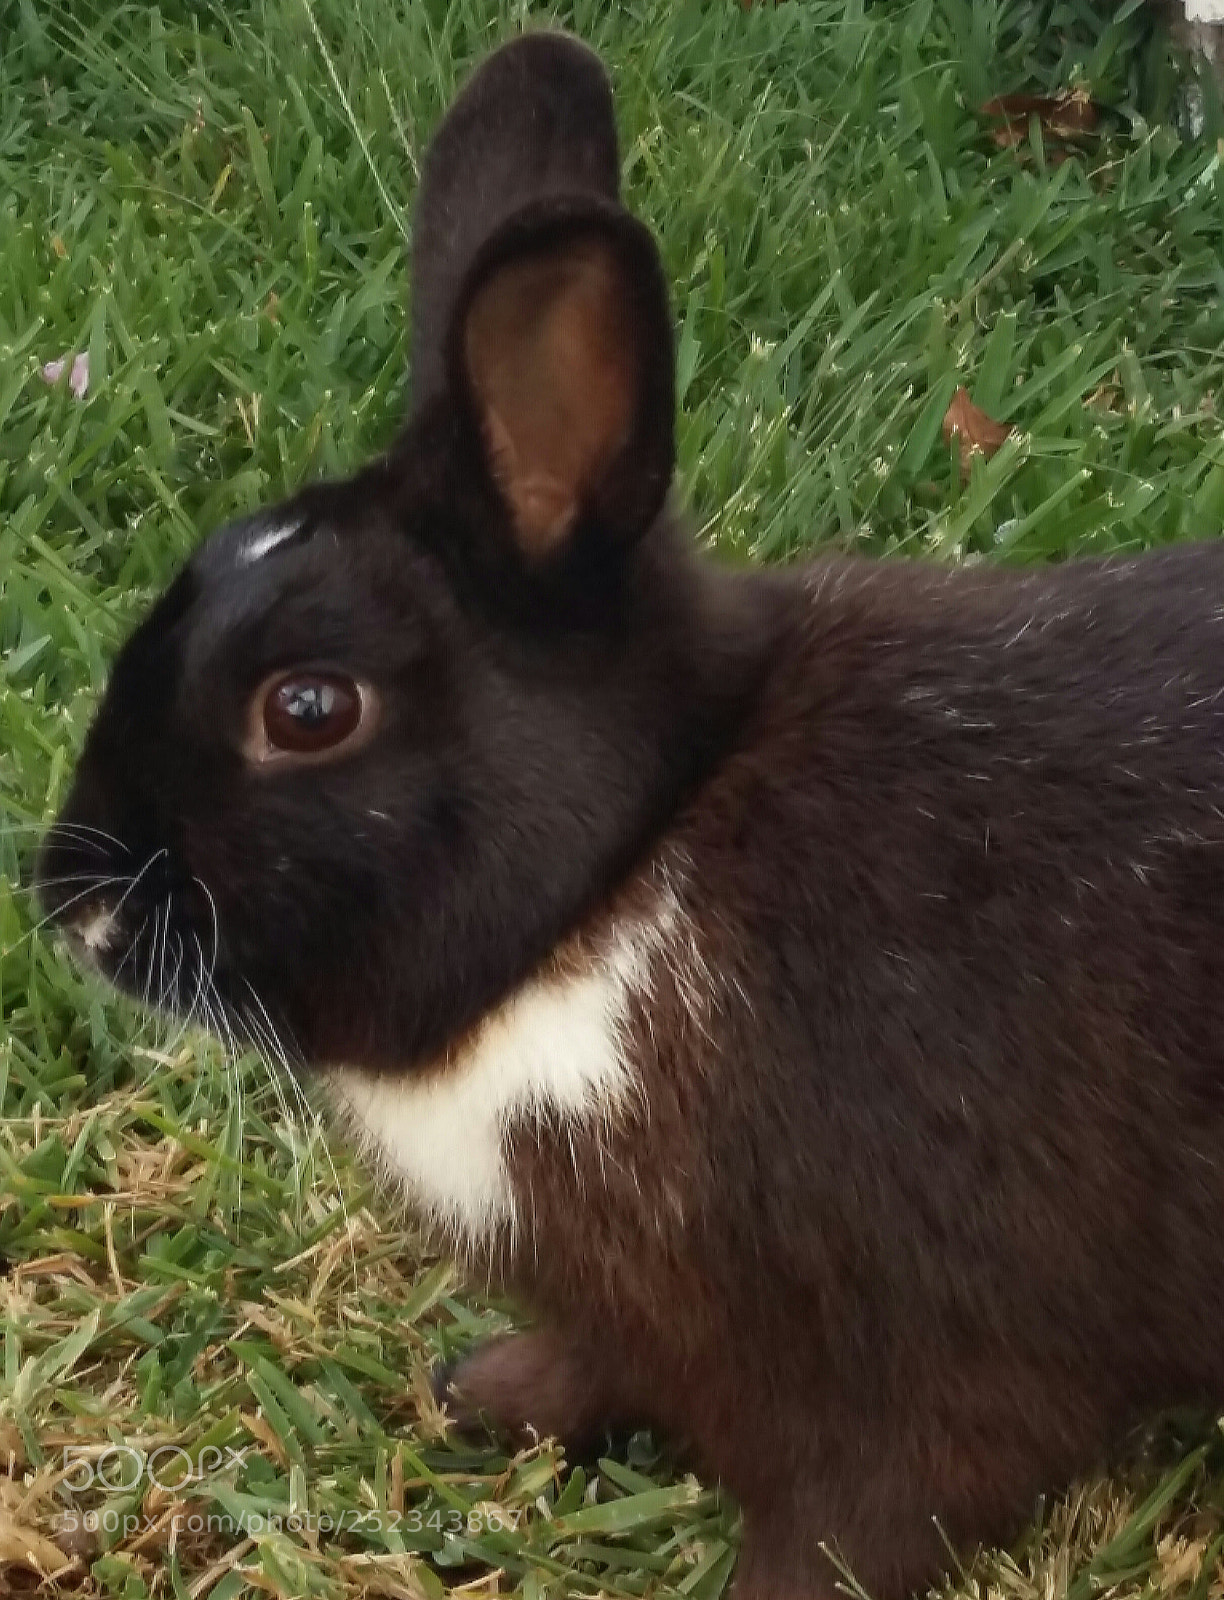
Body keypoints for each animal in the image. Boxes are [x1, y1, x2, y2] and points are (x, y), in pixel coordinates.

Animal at [37, 28, 1224, 1600]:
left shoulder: (921, 1374)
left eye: (309, 707)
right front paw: (493, 1396)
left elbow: (859, 1518)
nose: (70, 905)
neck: (623, 869)